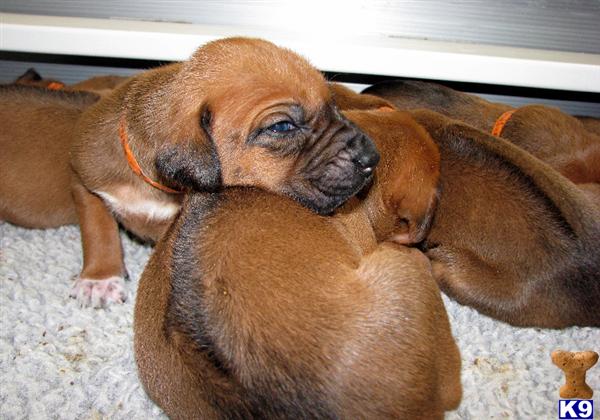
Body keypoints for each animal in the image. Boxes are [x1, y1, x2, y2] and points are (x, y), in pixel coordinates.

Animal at [68, 37, 378, 306]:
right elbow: (98, 228)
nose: (372, 158)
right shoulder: (84, 173)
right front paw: (99, 278)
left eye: (333, 107)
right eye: (282, 126)